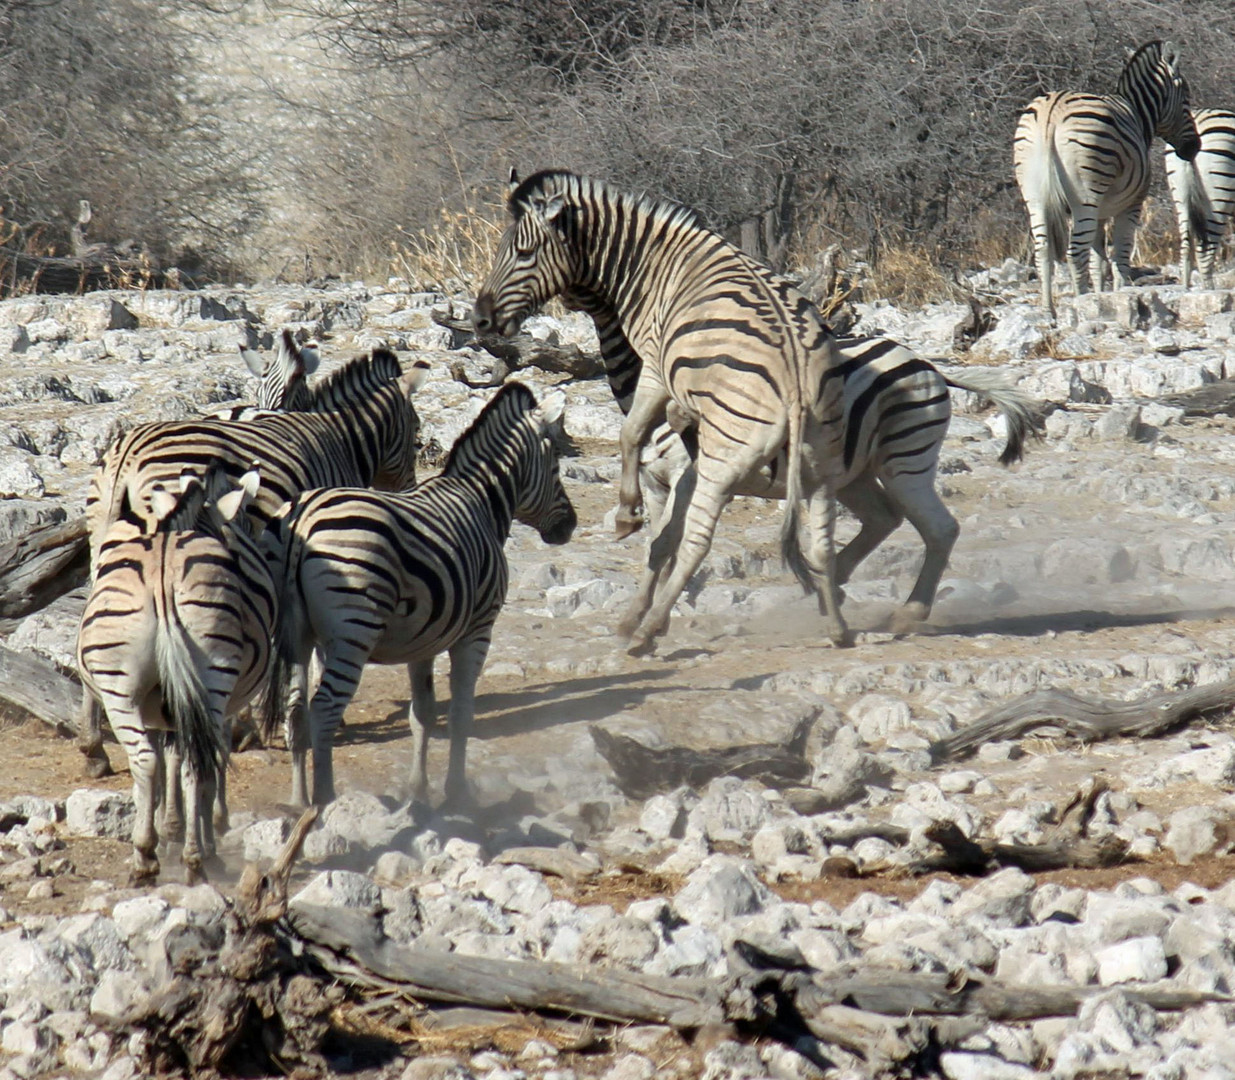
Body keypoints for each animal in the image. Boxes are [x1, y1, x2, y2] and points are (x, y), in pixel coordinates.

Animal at [77, 348, 432, 780]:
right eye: (415, 431)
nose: (409, 493)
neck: (343, 441)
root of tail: (128, 449)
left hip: (104, 540)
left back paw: (94, 747)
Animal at [77, 462, 275, 884]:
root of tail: (162, 575)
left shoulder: (167, 709)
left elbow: (170, 763)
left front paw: (169, 831)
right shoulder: (208, 710)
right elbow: (198, 768)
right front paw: (194, 831)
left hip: (120, 688)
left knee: (147, 760)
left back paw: (148, 857)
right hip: (212, 684)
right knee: (194, 763)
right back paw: (193, 859)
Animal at [476, 169, 1037, 657]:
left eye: (522, 251)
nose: (479, 318)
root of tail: (934, 368)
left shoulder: (678, 445)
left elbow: (644, 470)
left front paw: (630, 550)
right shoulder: (667, 481)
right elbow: (657, 546)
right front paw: (634, 609)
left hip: (903, 464)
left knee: (936, 529)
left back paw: (900, 612)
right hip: (845, 473)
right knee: (868, 525)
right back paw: (833, 597)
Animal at [1012, 39, 1195, 318]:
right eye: (1185, 96)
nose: (1194, 148)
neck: (1138, 114)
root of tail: (1052, 111)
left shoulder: (1100, 212)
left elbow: (1099, 261)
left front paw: (1101, 298)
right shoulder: (1132, 204)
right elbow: (1121, 255)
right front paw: (1122, 295)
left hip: (1034, 194)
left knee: (1043, 250)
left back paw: (1048, 310)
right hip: (1085, 196)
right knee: (1075, 253)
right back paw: (1079, 302)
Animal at [1160, 108, 1235, 290]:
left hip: (1180, 195)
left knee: (1185, 249)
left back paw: (1186, 292)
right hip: (1218, 199)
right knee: (1204, 254)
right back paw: (1210, 293)